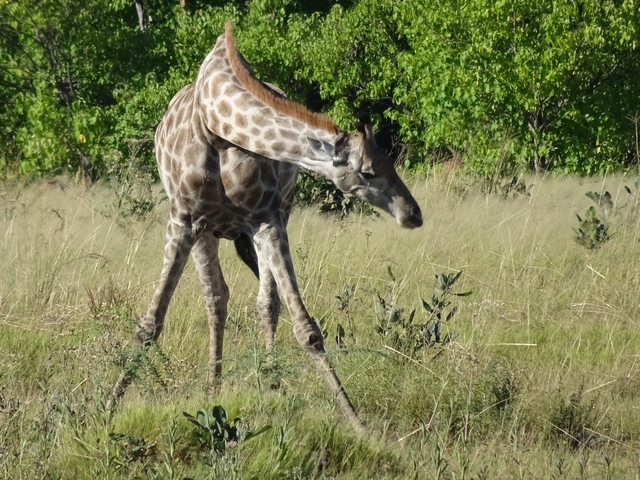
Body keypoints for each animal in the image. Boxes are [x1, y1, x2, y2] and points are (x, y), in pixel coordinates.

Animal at [109, 22, 422, 434]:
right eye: (369, 171)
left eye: (392, 162)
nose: (413, 214)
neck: (216, 127)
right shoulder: (184, 218)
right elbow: (150, 322)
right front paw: (108, 405)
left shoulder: (265, 217)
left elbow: (305, 326)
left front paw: (357, 424)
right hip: (206, 231)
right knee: (216, 297)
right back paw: (213, 385)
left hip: (269, 218)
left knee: (264, 301)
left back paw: (269, 380)